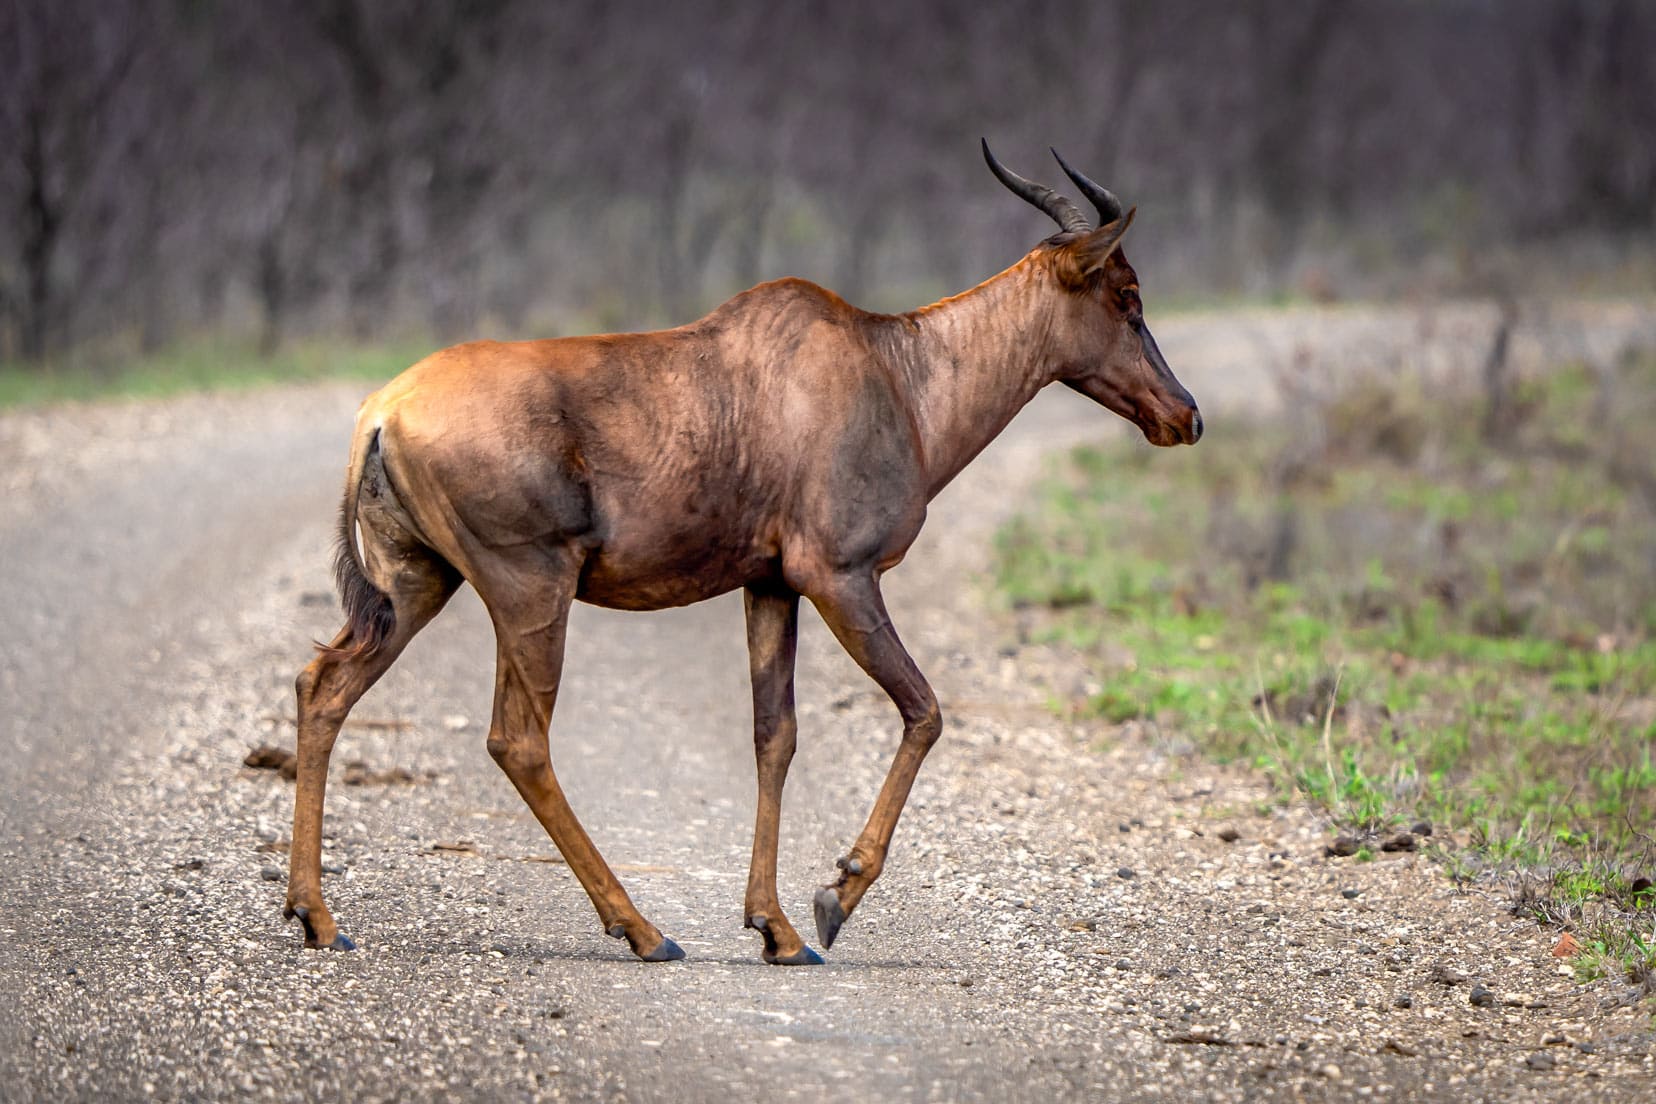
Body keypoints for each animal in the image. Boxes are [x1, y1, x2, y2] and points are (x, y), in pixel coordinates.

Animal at [281, 142, 1192, 960]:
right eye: (1127, 294)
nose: (1185, 415)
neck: (893, 371)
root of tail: (382, 409)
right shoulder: (839, 577)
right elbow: (924, 711)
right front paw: (832, 900)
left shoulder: (771, 586)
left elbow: (774, 737)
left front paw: (775, 929)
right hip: (529, 587)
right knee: (518, 739)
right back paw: (645, 932)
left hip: (419, 582)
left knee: (325, 686)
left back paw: (318, 918)